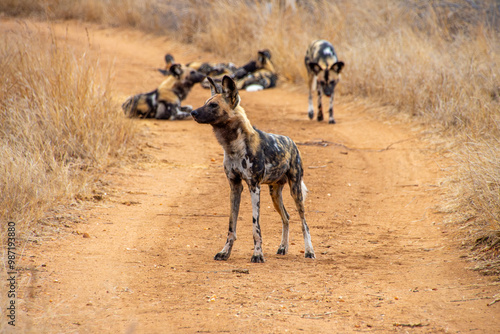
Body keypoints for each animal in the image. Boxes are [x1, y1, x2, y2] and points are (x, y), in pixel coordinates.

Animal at [189, 75, 314, 264]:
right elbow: (231, 226)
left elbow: (256, 227)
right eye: (205, 103)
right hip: (275, 193)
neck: (233, 146)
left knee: (303, 222)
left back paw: (309, 251)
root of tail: (291, 141)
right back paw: (283, 247)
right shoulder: (235, 186)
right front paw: (225, 252)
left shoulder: (253, 186)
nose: (193, 113)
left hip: (295, 190)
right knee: (286, 217)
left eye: (214, 105)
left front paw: (257, 254)